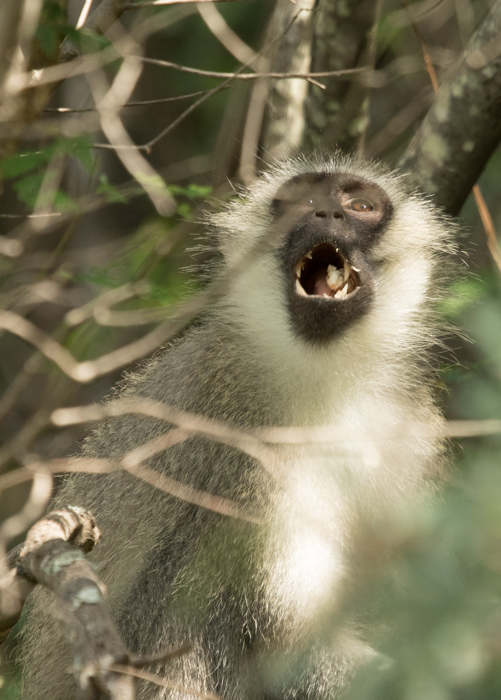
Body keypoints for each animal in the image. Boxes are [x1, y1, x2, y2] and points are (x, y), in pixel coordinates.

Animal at [21, 156, 456, 696]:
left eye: (359, 205)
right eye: (301, 200)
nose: (326, 212)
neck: (329, 379)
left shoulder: (412, 430)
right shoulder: (250, 449)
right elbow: (283, 638)